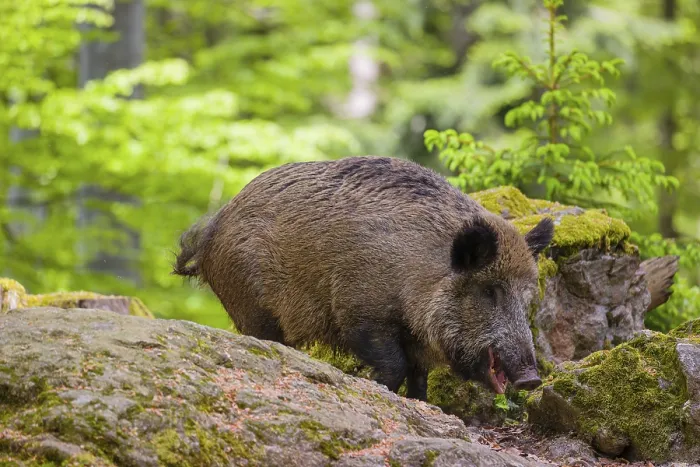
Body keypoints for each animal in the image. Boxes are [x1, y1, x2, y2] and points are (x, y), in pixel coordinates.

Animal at [173, 156, 554, 401]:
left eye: (526, 297)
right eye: (489, 291)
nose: (532, 379)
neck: (418, 272)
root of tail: (212, 231)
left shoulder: (417, 345)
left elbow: (419, 379)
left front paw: (421, 403)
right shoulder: (360, 311)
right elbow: (393, 365)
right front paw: (376, 386)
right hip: (252, 306)